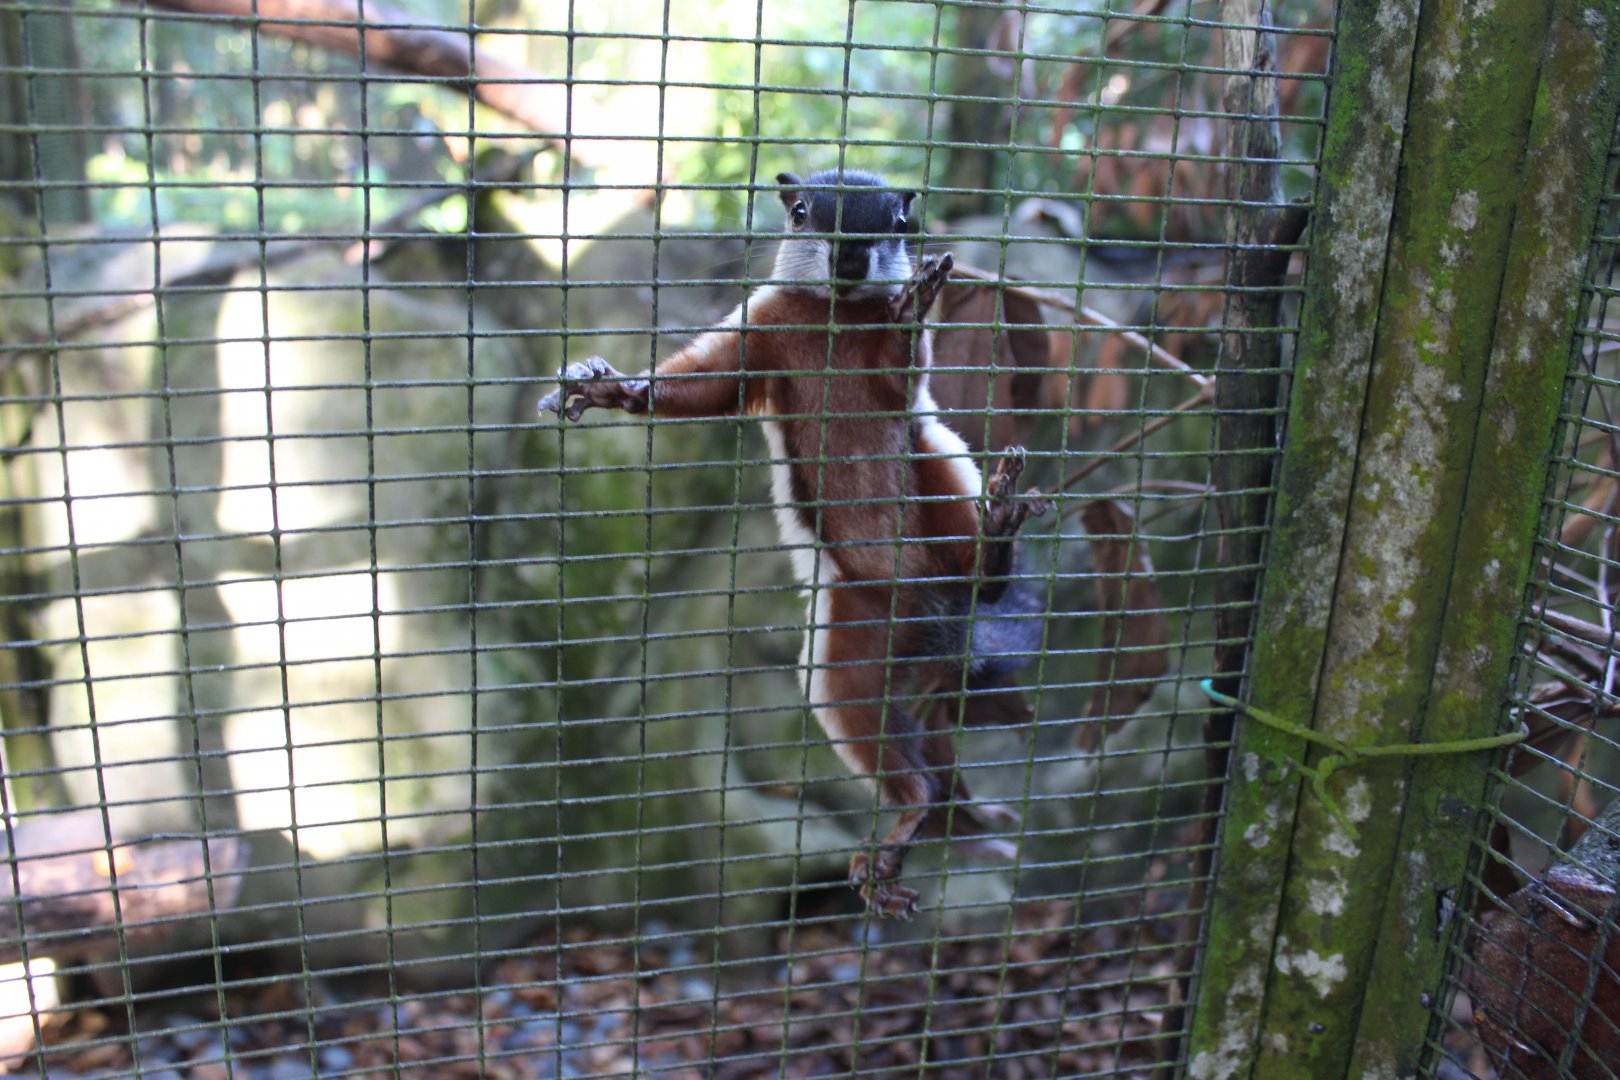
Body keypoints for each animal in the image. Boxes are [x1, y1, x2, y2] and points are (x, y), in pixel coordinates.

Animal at [539, 169, 1049, 918]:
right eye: (802, 211)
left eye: (900, 222)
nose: (850, 258)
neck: (835, 315)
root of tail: (932, 614)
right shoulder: (763, 330)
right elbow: (706, 383)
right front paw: (616, 390)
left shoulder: (891, 380)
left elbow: (900, 372)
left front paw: (915, 306)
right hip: (851, 640)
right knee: (884, 735)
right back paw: (907, 822)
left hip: (937, 469)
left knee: (978, 564)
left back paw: (996, 538)